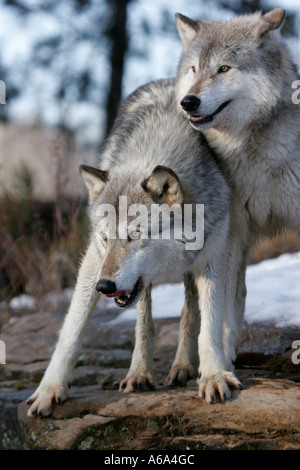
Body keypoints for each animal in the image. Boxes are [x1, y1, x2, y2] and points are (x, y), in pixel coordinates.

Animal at [26, 79, 239, 416]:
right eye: (105, 238)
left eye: (134, 234)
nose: (104, 286)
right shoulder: (93, 262)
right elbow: (72, 330)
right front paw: (49, 389)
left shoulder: (212, 260)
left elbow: (210, 327)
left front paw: (214, 375)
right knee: (144, 321)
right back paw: (139, 373)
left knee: (189, 311)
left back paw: (182, 365)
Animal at [175, 9, 300, 392]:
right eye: (194, 69)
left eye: (224, 68)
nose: (188, 102)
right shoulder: (228, 234)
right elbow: (219, 307)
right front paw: (217, 368)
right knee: (200, 306)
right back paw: (183, 366)